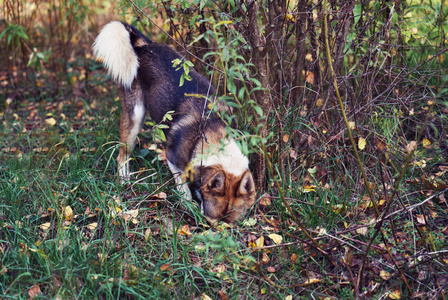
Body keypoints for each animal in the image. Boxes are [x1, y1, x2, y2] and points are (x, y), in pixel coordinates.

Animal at [93, 21, 256, 223]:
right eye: (210, 221)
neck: (212, 133)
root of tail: (143, 46)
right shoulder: (171, 157)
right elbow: (182, 183)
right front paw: (186, 202)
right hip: (134, 117)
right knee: (123, 155)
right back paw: (124, 180)